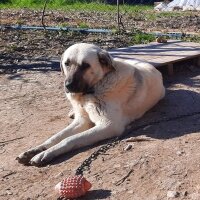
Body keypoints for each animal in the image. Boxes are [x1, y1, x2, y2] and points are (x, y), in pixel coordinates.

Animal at [16, 44, 164, 167]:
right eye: (67, 63)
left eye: (85, 65)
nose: (68, 86)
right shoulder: (82, 120)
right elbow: (56, 136)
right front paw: (36, 150)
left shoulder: (109, 126)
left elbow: (69, 139)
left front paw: (46, 153)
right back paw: (72, 111)